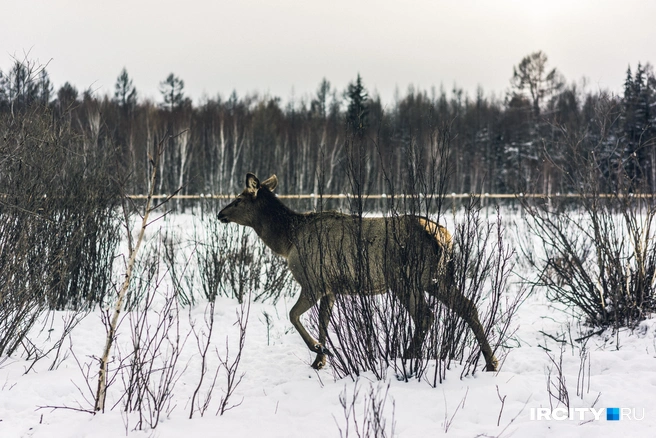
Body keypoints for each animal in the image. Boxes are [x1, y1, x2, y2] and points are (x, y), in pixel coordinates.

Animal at [218, 173, 500, 372]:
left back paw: (406, 356)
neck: (287, 242)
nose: (220, 213)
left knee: (425, 315)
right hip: (437, 278)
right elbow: (323, 322)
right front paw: (320, 359)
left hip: (405, 278)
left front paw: (317, 348)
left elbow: (293, 315)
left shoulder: (313, 281)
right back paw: (491, 362)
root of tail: (444, 237)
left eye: (239, 199)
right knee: (467, 306)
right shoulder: (330, 288)